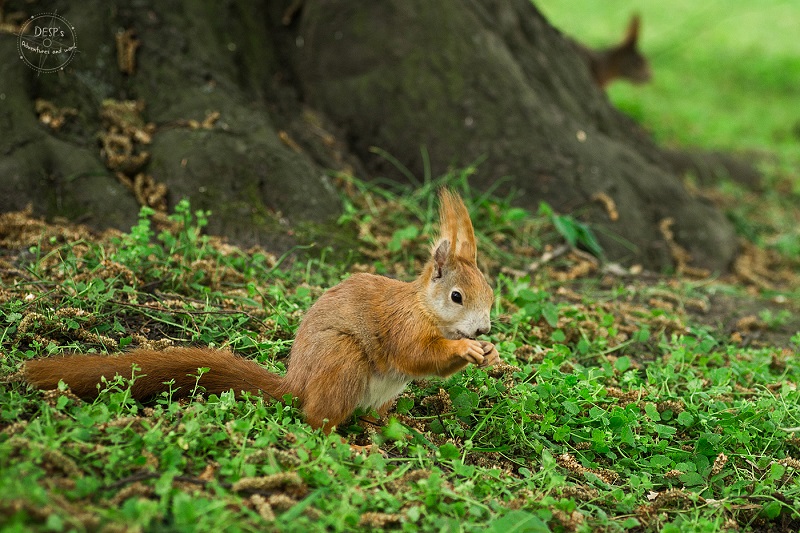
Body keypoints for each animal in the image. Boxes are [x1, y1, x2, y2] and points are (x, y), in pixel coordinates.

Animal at [23, 191, 500, 432]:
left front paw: (491, 354)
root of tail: (297, 383)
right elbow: (416, 354)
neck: (425, 308)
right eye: (457, 297)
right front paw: (466, 352)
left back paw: (389, 427)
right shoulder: (404, 326)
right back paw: (347, 443)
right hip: (342, 362)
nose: (483, 329)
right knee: (317, 420)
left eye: (491, 293)